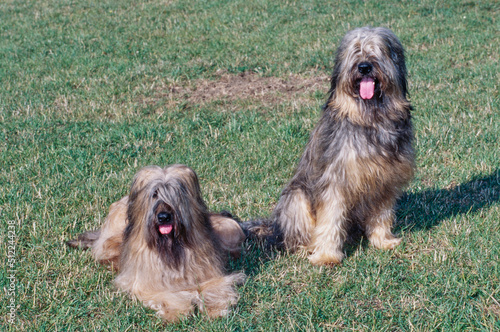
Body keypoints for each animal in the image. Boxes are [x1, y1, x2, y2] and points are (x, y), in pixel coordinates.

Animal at [66, 165, 246, 322]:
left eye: (174, 195)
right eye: (154, 194)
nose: (164, 217)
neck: (170, 248)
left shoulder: (209, 274)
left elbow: (215, 287)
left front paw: (215, 309)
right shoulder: (147, 283)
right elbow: (168, 295)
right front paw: (177, 312)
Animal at [274, 26, 414, 264]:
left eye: (377, 50)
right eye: (355, 50)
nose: (364, 67)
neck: (370, 120)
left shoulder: (385, 180)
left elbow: (382, 212)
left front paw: (383, 240)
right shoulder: (334, 179)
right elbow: (330, 217)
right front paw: (327, 256)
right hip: (296, 196)